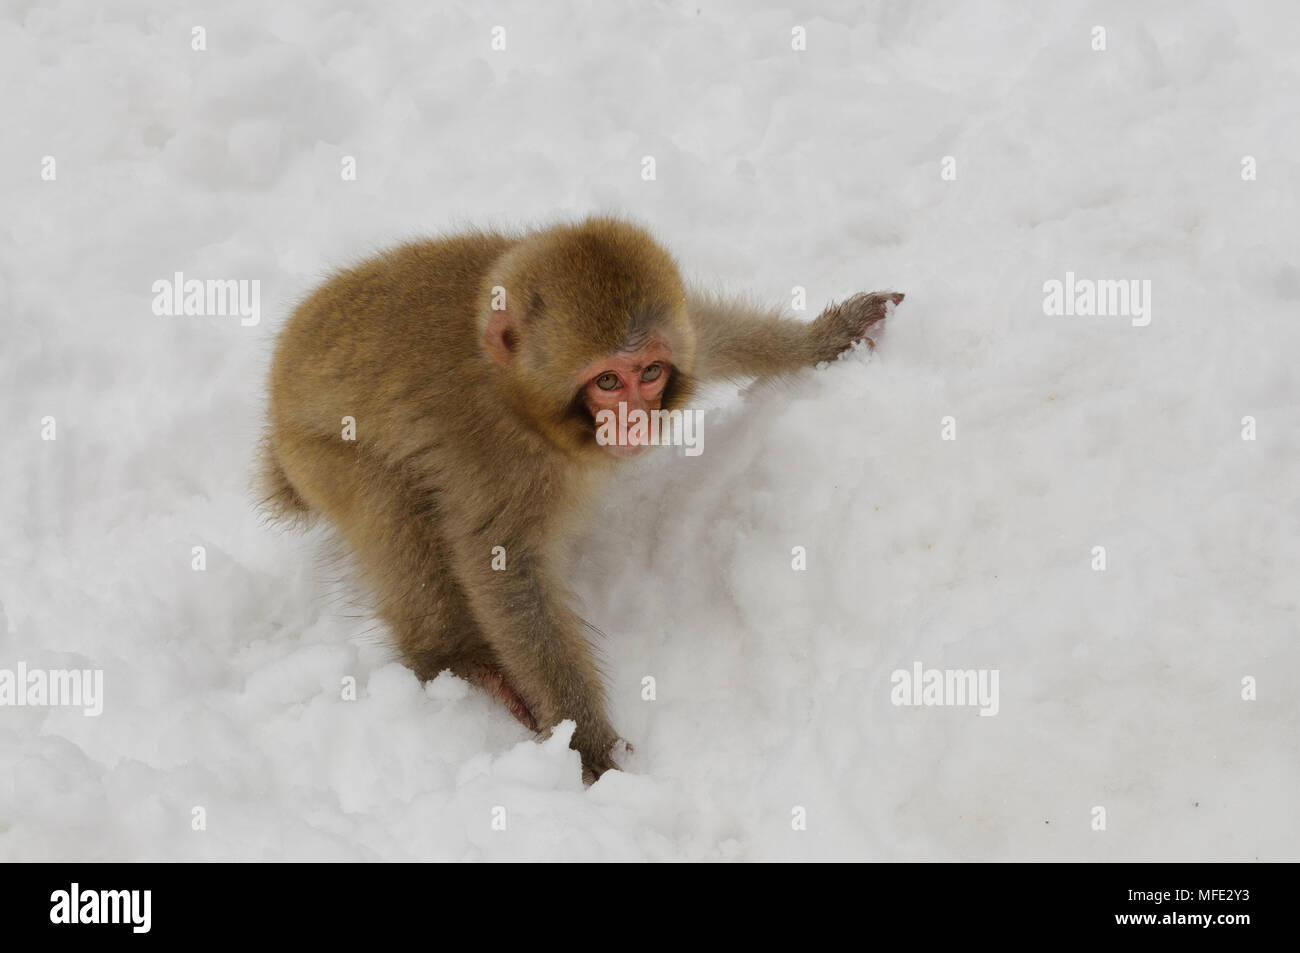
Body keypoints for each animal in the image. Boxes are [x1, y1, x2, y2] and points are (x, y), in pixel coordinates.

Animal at [258, 215, 899, 780]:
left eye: (650, 371)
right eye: (608, 381)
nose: (637, 421)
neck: (522, 400)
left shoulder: (681, 335)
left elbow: (713, 332)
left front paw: (827, 336)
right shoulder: (503, 461)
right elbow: (506, 570)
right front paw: (588, 743)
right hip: (323, 459)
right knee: (393, 512)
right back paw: (449, 658)